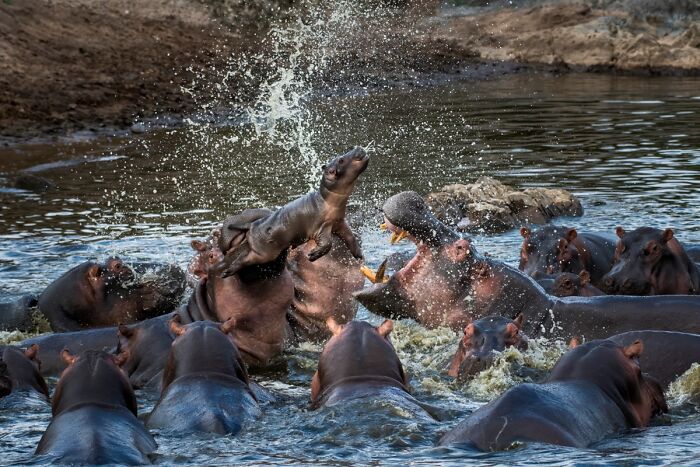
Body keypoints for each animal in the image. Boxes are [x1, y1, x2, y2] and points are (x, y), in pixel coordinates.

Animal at [219, 146, 368, 278]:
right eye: (341, 160)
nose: (358, 148)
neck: (327, 199)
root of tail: (251, 225)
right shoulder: (322, 227)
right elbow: (327, 244)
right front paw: (312, 255)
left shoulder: (339, 222)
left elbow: (350, 237)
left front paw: (359, 254)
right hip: (264, 254)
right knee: (244, 260)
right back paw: (227, 272)